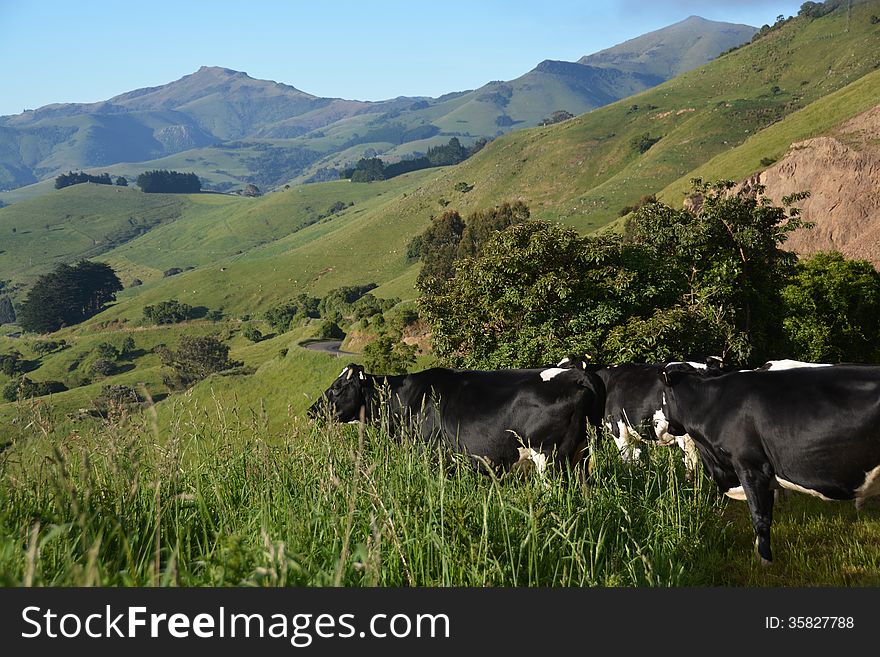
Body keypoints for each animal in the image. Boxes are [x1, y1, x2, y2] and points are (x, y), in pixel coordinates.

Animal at [308, 362, 604, 474]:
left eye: (337, 387)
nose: (312, 410)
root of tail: (576, 374)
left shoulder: (431, 455)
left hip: (549, 456)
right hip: (581, 456)